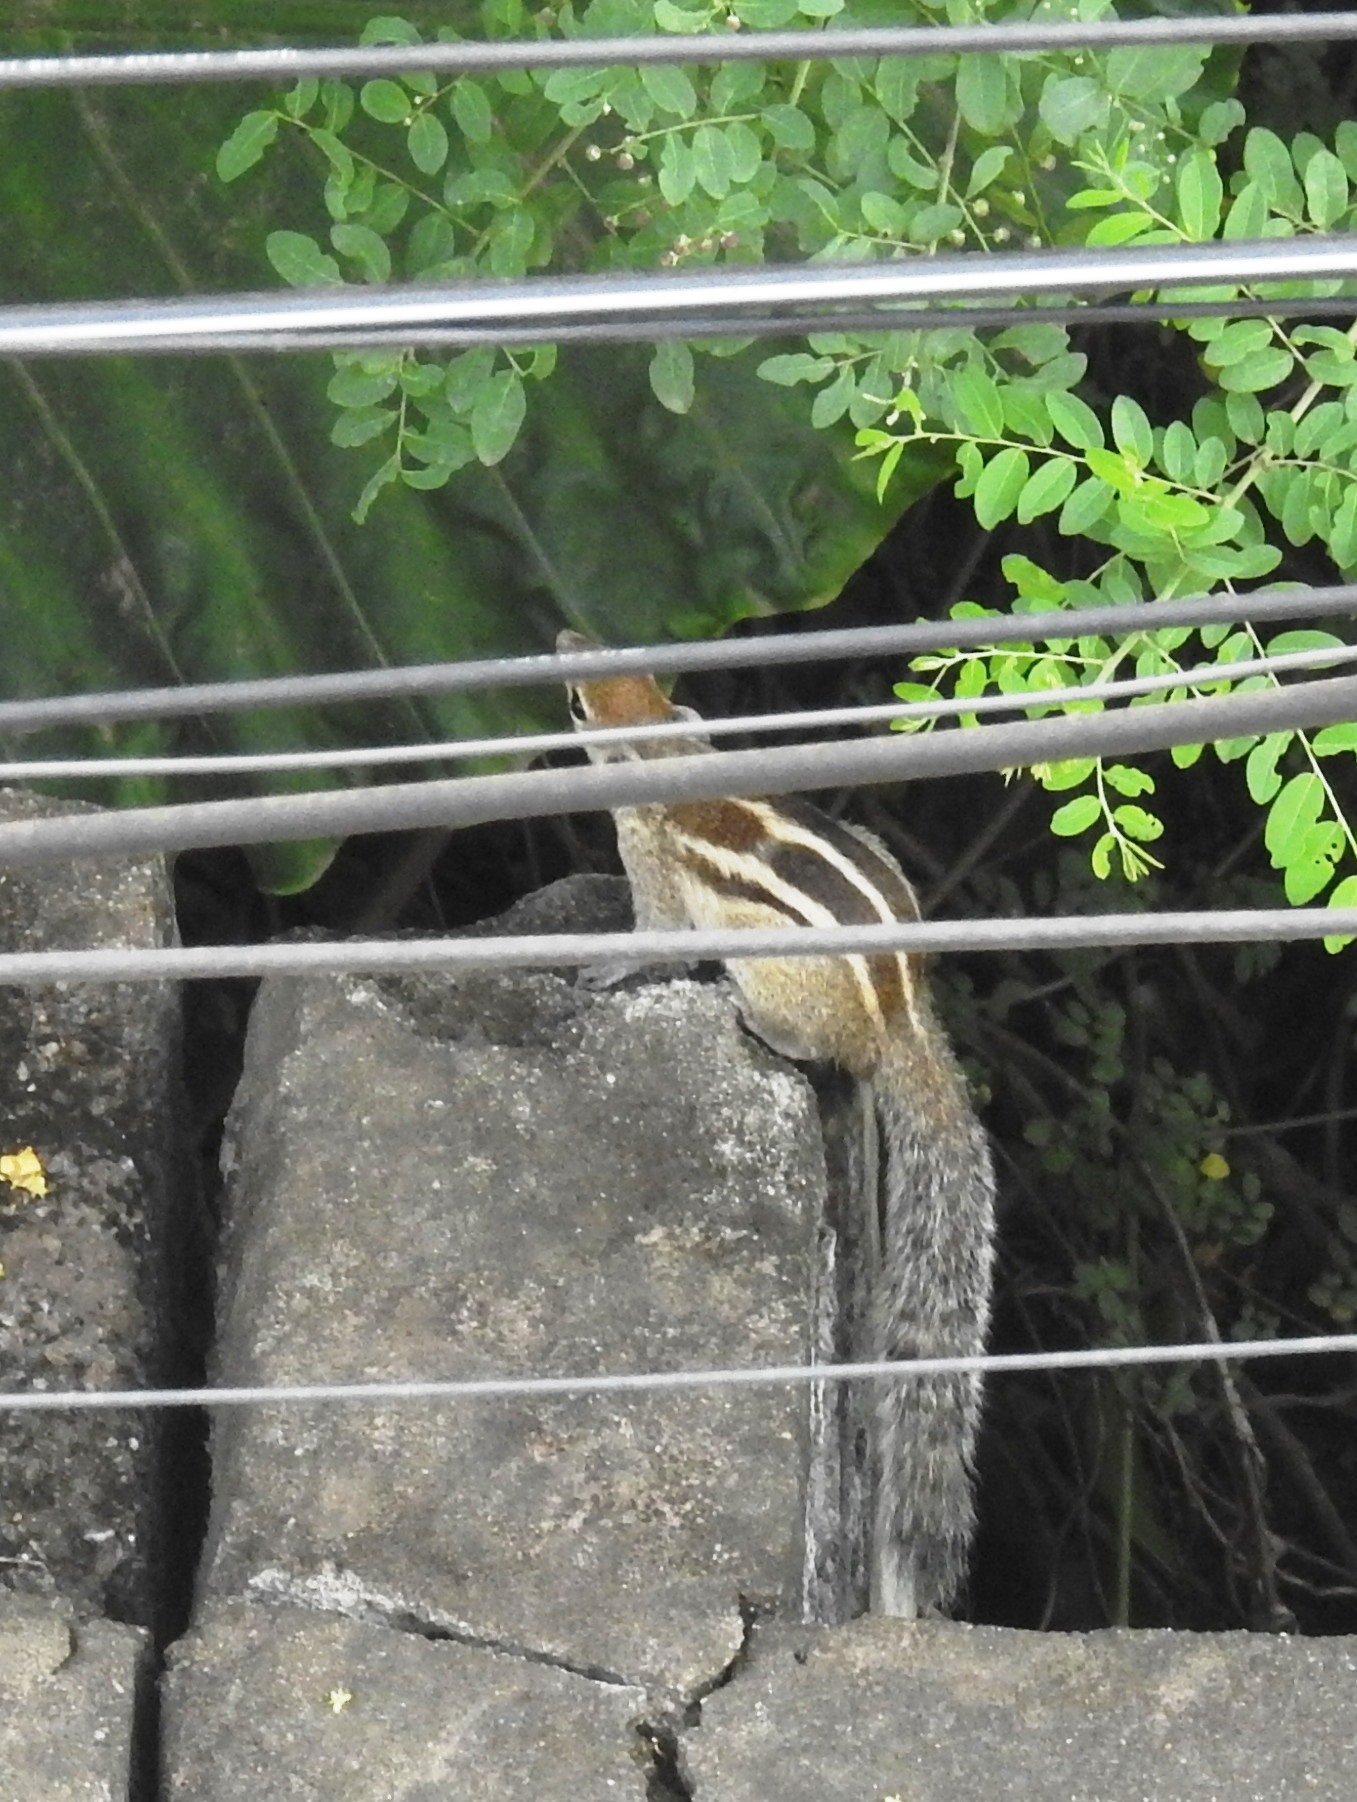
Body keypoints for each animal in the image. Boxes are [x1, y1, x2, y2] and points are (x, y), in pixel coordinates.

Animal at [558, 630, 996, 1619]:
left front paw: (602, 968)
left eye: (576, 703)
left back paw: (756, 1022)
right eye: (614, 659)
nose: (561, 642)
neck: (670, 753)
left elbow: (650, 935)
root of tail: (898, 1020)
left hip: (771, 969)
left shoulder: (656, 868)